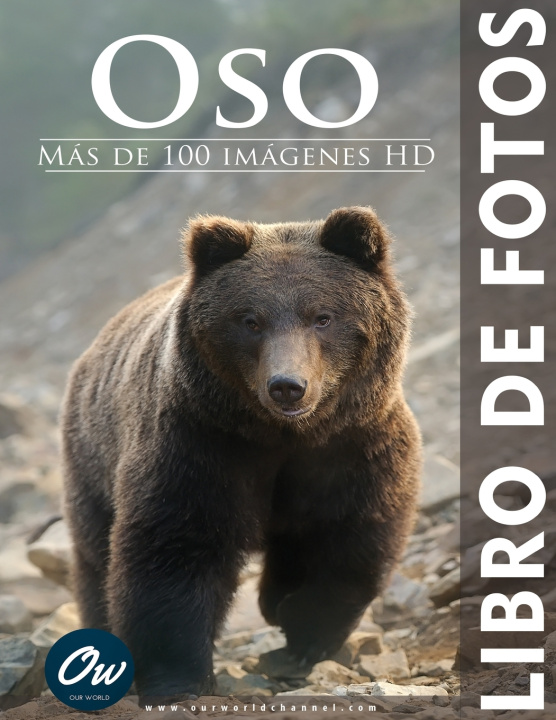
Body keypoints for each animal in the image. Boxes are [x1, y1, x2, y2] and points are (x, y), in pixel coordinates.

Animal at [61, 206, 422, 700]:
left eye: (322, 316)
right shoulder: (201, 443)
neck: (284, 434)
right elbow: (175, 547)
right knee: (96, 556)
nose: (287, 385)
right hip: (92, 457)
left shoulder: (353, 445)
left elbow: (348, 536)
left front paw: (303, 630)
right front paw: (179, 679)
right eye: (250, 320)